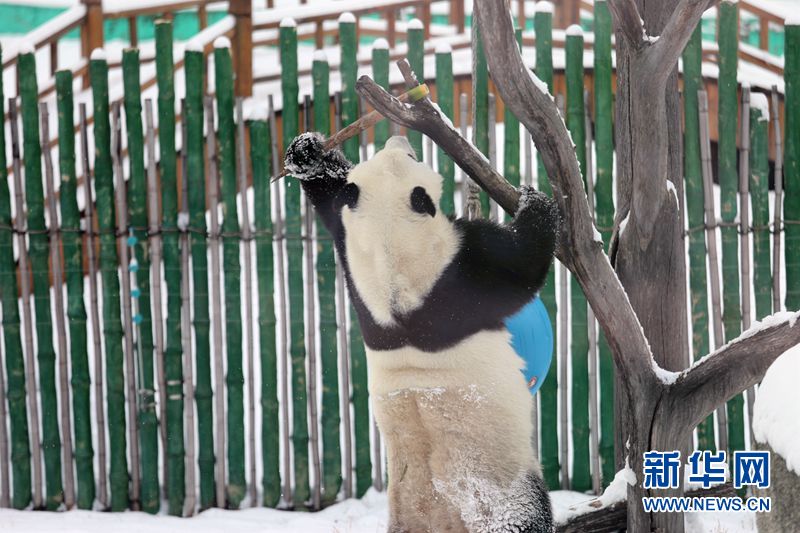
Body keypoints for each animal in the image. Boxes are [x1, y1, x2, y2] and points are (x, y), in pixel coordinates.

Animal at [286, 134, 556, 532]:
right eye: (414, 158)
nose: (400, 138)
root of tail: (437, 512)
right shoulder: (461, 273)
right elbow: (521, 265)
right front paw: (536, 202)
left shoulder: (355, 265)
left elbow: (333, 203)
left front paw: (307, 154)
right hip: (495, 489)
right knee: (523, 514)